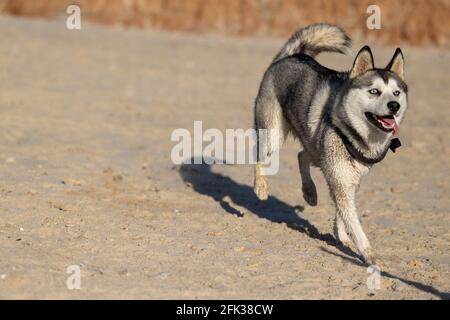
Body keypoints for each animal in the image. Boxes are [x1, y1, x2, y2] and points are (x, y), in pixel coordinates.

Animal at [253, 23, 408, 264]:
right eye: (374, 91)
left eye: (396, 92)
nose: (394, 105)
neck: (353, 134)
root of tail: (291, 56)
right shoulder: (341, 178)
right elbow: (353, 222)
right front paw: (368, 254)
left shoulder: (349, 179)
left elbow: (342, 213)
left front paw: (341, 236)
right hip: (273, 133)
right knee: (260, 156)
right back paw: (261, 187)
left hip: (316, 146)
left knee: (302, 155)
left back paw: (309, 192)